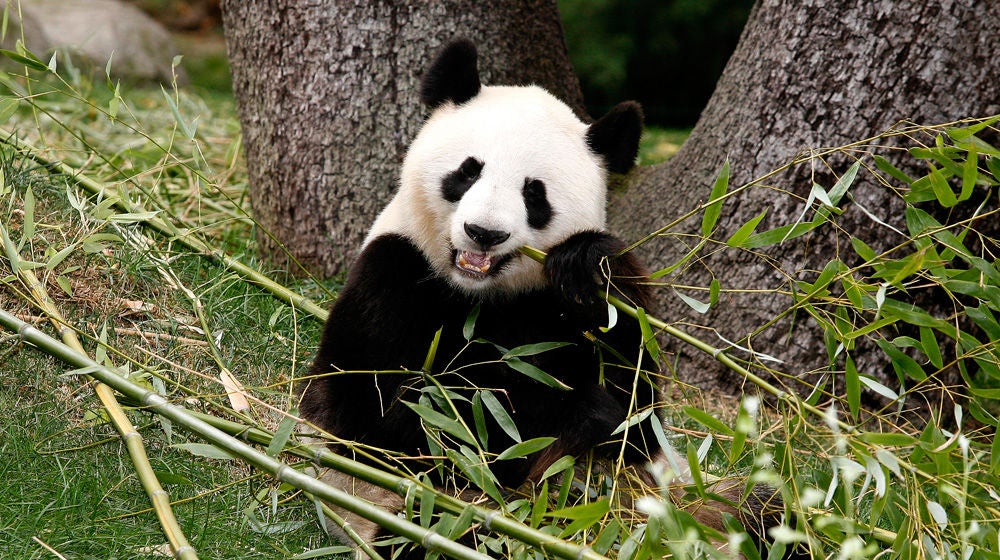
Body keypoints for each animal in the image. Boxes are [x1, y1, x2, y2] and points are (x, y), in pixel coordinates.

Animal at [300, 39, 785, 559]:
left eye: (534, 193)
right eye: (468, 171)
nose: (484, 233)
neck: (481, 293)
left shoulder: (554, 313)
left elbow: (637, 409)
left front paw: (588, 267)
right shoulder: (391, 274)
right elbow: (387, 417)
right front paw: (570, 414)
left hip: (693, 502)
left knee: (763, 508)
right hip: (418, 514)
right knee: (441, 532)